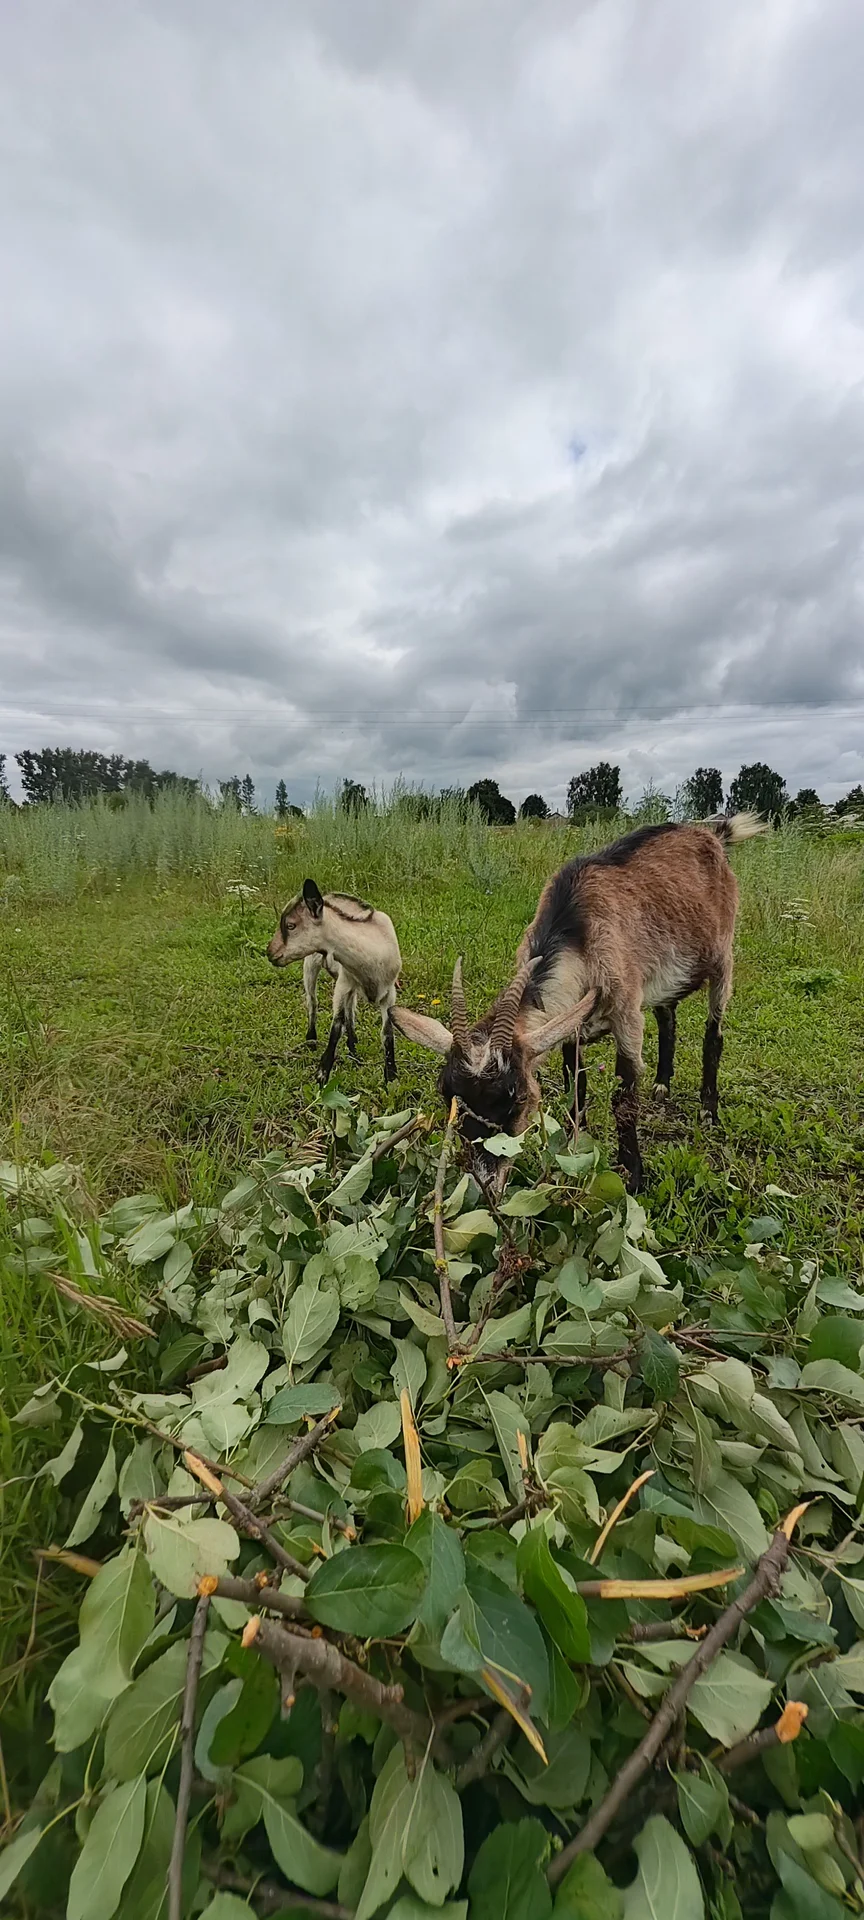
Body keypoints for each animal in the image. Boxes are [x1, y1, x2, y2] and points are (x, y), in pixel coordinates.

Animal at [266, 879, 401, 1084]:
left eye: (290, 925)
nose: (270, 953)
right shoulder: (344, 983)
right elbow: (336, 1025)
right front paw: (322, 1075)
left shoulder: (388, 992)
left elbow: (387, 1033)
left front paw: (391, 1076)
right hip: (311, 964)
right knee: (313, 1002)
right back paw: (311, 1041)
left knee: (350, 1011)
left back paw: (354, 1051)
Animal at [391, 813, 765, 1192]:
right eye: (447, 1093)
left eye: (520, 1097)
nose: (486, 1183)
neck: (578, 932)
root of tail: (712, 835)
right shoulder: (570, 1024)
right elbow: (575, 1087)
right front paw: (574, 1148)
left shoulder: (626, 1013)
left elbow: (624, 1096)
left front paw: (633, 1175)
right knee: (667, 1015)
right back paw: (662, 1083)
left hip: (723, 959)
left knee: (713, 1033)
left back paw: (708, 1111)